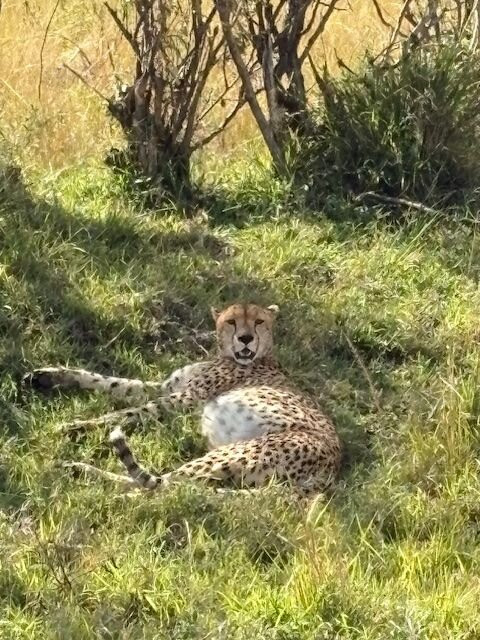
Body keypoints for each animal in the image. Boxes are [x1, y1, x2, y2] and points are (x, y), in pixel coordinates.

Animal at [24, 303, 342, 496]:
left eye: (259, 321)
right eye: (232, 321)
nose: (246, 338)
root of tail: (332, 467)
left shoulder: (185, 398)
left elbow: (128, 412)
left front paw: (74, 426)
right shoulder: (166, 388)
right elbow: (110, 382)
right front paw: (47, 376)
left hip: (237, 454)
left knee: (163, 486)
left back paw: (89, 477)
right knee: (167, 485)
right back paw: (77, 470)